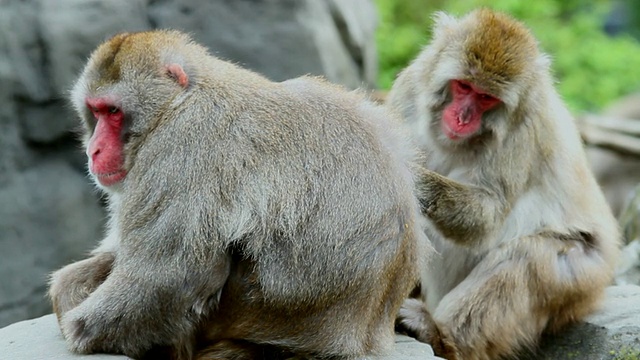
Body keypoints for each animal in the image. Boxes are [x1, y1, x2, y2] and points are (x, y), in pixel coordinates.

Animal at [388, 8, 624, 360]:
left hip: (585, 276)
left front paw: (418, 181)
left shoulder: (525, 128)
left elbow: (488, 216)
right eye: (463, 86)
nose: (462, 117)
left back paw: (442, 336)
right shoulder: (409, 87)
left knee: (530, 255)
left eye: (486, 98)